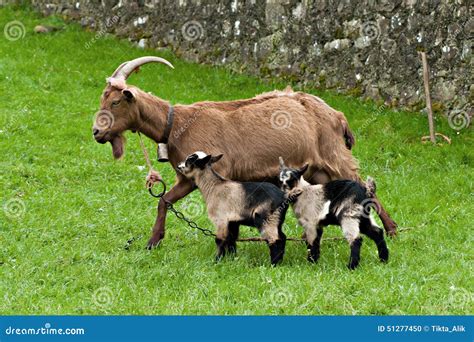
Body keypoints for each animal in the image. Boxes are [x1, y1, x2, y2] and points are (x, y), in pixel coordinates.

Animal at [92, 56, 396, 248]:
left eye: (116, 101)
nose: (96, 132)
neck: (176, 123)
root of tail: (337, 115)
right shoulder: (187, 179)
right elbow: (164, 200)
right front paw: (153, 241)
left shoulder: (219, 173)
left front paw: (229, 244)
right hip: (318, 171)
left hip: (334, 156)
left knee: (364, 185)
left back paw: (391, 229)